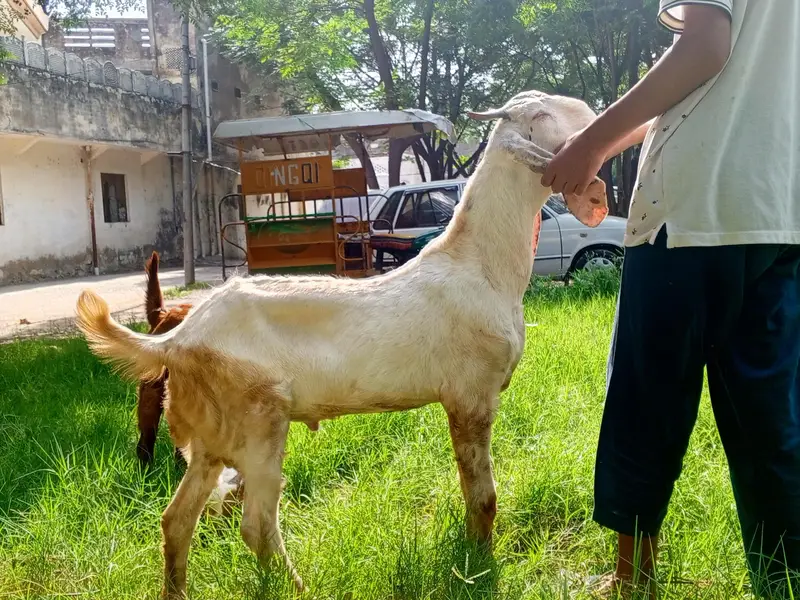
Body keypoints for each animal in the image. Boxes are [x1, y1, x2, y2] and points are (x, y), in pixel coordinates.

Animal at [76, 90, 607, 599]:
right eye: (541, 115)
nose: (594, 124)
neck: (477, 264)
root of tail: (178, 338)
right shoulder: (470, 395)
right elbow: (483, 496)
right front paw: (479, 563)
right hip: (259, 418)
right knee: (255, 523)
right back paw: (297, 588)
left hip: (212, 436)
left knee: (177, 518)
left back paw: (178, 591)